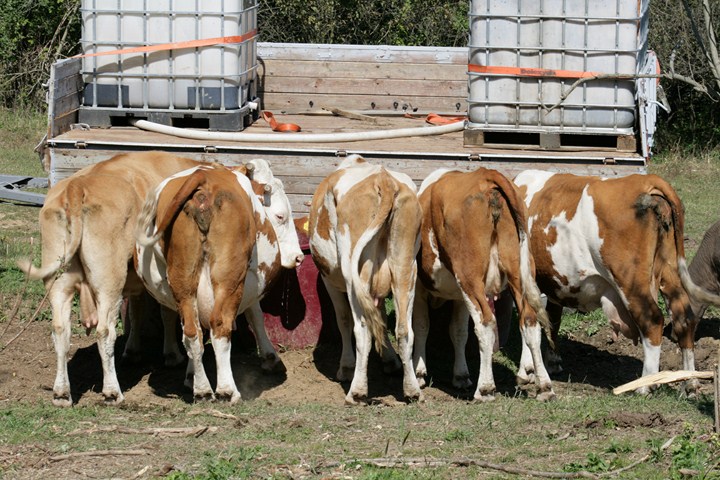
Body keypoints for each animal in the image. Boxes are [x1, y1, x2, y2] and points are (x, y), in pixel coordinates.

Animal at [17, 150, 202, 404]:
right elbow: (166, 313)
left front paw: (133, 351)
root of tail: (77, 185)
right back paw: (113, 391)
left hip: (60, 280)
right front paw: (172, 355)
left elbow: (136, 311)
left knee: (60, 329)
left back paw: (62, 393)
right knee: (105, 332)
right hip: (108, 281)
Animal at [136, 160, 304, 402]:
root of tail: (203, 178)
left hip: (182, 279)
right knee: (220, 326)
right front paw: (270, 358)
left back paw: (202, 389)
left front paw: (190, 377)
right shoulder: (250, 280)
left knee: (191, 332)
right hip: (229, 278)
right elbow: (256, 316)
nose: (299, 257)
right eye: (281, 216)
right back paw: (227, 390)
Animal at [308, 156, 422, 404]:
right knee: (404, 330)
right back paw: (412, 390)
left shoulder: (329, 281)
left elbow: (343, 320)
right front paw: (390, 360)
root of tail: (384, 180)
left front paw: (346, 367)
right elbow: (380, 317)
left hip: (355, 274)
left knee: (362, 330)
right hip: (405, 268)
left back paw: (357, 391)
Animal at [410, 168, 556, 402]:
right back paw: (544, 386)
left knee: (486, 324)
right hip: (518, 273)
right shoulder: (459, 296)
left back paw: (485, 388)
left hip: (470, 278)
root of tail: (486, 175)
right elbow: (458, 331)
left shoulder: (420, 288)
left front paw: (419, 372)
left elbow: (422, 327)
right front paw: (460, 375)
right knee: (530, 321)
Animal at [510, 170, 720, 394]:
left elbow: (528, 321)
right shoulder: (555, 283)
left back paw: (644, 386)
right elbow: (552, 321)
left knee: (652, 321)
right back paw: (690, 382)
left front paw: (526, 371)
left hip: (630, 282)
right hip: (670, 274)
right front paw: (552, 362)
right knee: (684, 319)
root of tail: (646, 181)